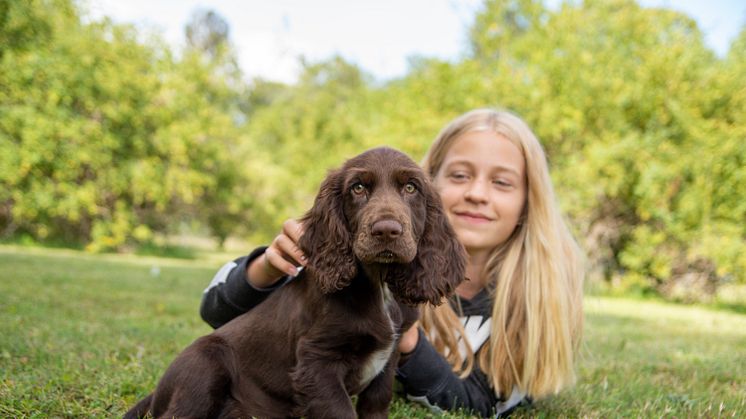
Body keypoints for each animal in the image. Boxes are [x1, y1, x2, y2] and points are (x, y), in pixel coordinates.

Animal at [128, 148, 464, 419]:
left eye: (410, 187)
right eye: (357, 188)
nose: (386, 231)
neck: (378, 287)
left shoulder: (388, 359)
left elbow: (376, 404)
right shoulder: (316, 363)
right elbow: (341, 411)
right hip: (205, 363)